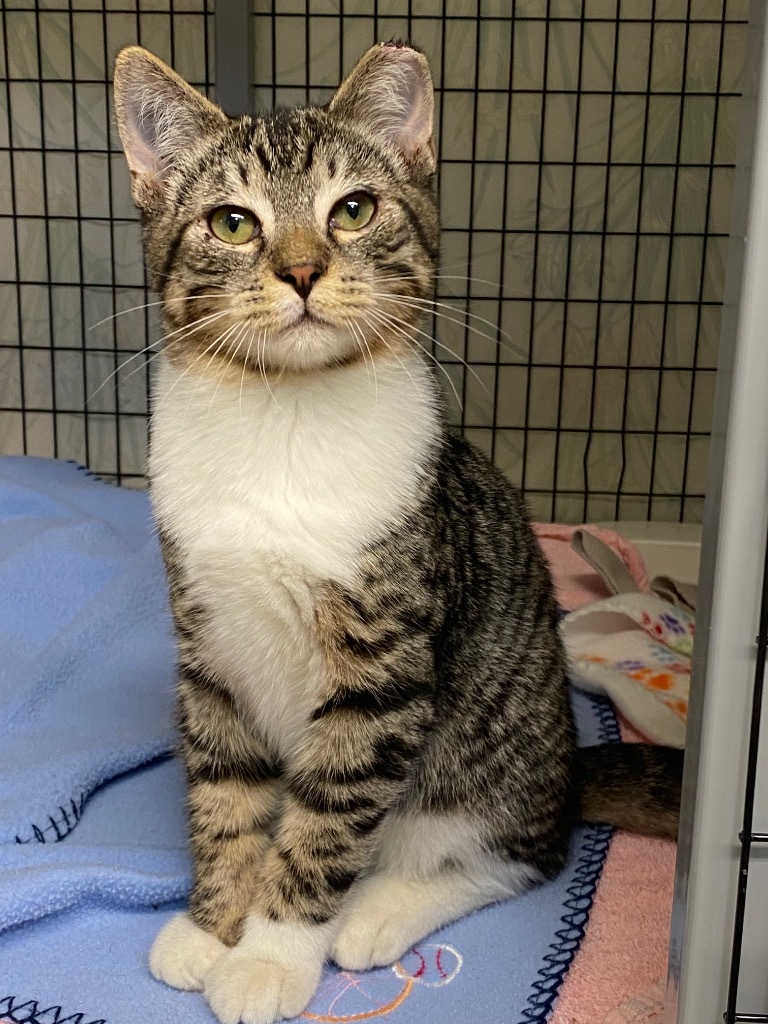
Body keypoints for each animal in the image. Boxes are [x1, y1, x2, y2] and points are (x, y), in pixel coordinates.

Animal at [112, 44, 679, 1024]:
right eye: (232, 223)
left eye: (353, 209)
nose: (302, 271)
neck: (282, 422)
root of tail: (570, 767)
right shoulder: (207, 645)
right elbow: (226, 792)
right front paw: (215, 921)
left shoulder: (383, 668)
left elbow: (326, 818)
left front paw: (270, 956)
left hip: (487, 758)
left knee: (521, 850)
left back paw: (376, 911)